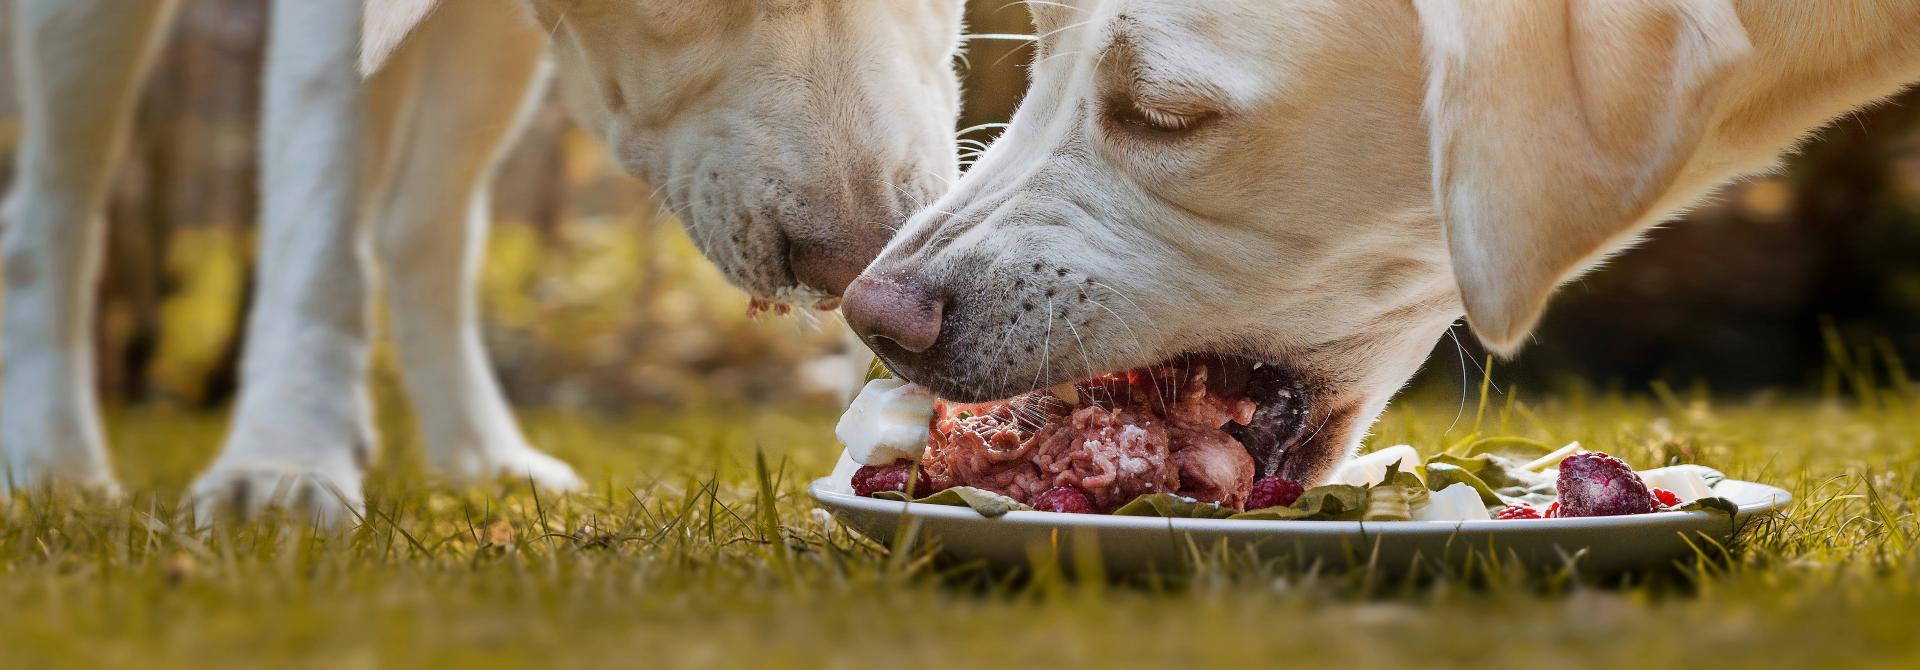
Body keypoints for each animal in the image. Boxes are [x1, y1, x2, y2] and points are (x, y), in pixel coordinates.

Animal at [0, 0, 960, 518]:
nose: (856, 267)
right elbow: (319, 213)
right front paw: (283, 461)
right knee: (50, 215)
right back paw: (55, 464)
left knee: (423, 229)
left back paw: (480, 452)